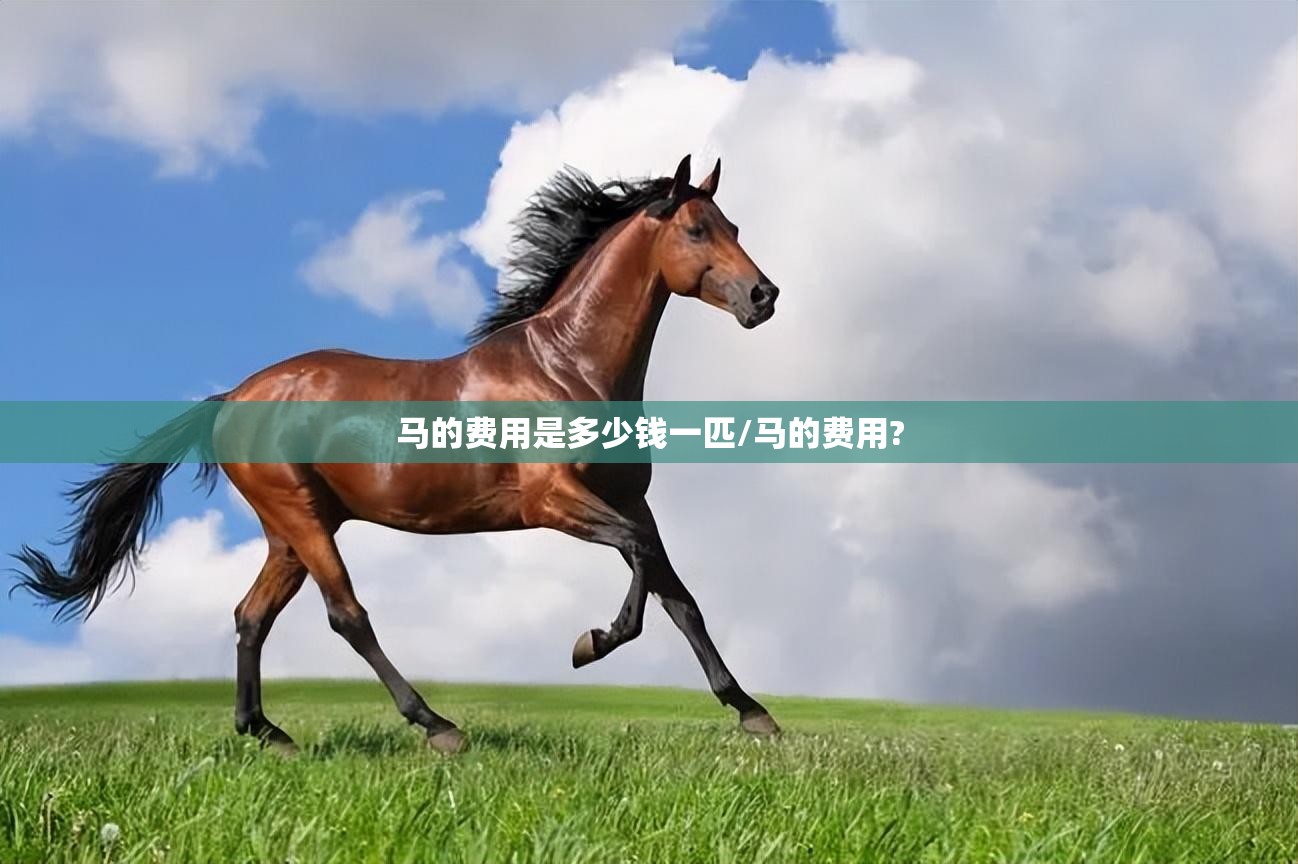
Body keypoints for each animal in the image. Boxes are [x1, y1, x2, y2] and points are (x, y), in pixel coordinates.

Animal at [13, 155, 782, 755]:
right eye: (696, 229)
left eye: (735, 227)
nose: (764, 295)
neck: (568, 367)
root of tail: (233, 395)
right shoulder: (555, 501)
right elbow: (641, 568)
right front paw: (590, 643)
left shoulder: (631, 500)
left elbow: (678, 595)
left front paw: (753, 713)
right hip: (302, 520)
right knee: (346, 614)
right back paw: (437, 726)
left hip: (290, 531)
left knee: (251, 616)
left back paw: (268, 733)